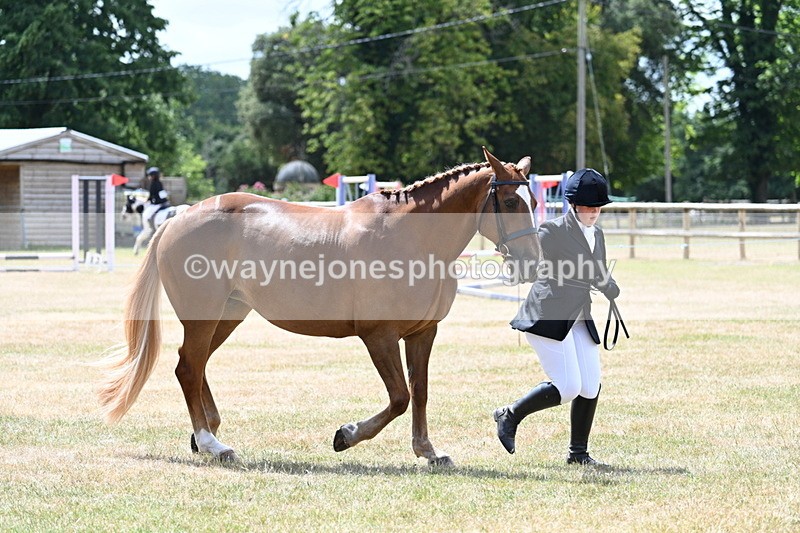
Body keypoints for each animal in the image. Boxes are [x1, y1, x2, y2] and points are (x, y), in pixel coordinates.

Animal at [98, 147, 541, 466]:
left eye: (533, 200)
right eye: (510, 201)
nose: (531, 261)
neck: (408, 237)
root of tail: (177, 219)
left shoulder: (421, 333)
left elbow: (420, 391)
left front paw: (428, 451)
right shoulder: (378, 335)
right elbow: (399, 397)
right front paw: (347, 435)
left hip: (228, 314)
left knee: (195, 364)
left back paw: (206, 433)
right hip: (204, 316)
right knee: (189, 367)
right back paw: (213, 443)